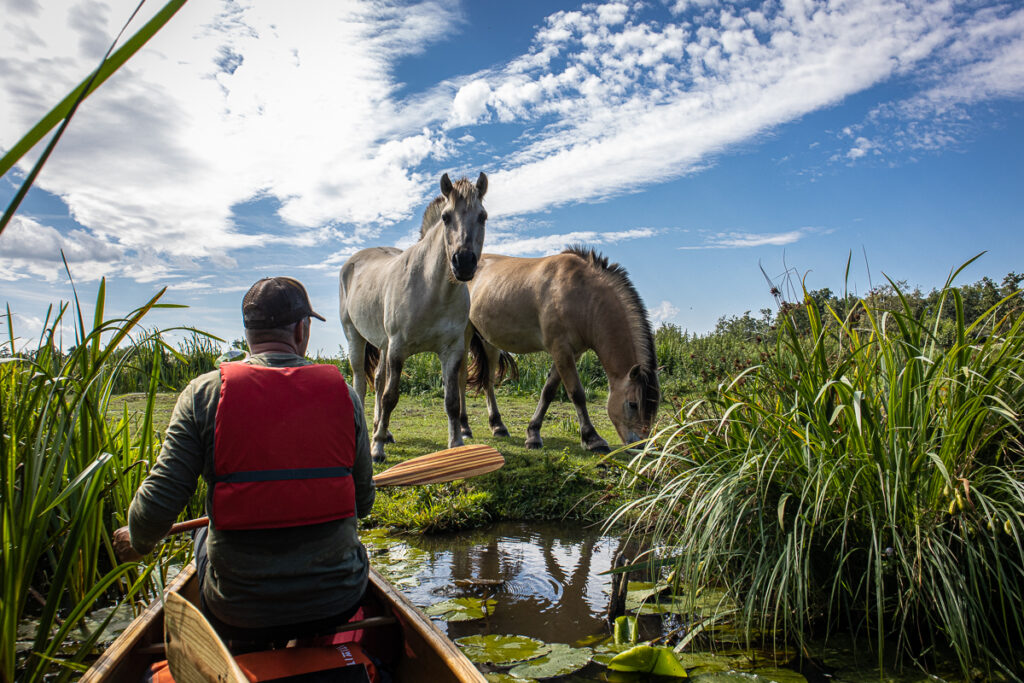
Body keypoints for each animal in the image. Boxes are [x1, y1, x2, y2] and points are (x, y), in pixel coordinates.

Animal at [339, 174, 487, 462]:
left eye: (482, 216)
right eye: (446, 217)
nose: (463, 262)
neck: (432, 290)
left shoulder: (452, 350)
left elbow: (452, 400)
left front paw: (456, 444)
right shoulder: (398, 348)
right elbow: (390, 397)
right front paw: (377, 449)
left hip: (382, 344)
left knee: (378, 379)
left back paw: (382, 430)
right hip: (355, 337)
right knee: (361, 384)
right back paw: (372, 434)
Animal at [460, 246, 659, 454]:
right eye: (633, 404)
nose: (641, 446)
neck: (582, 296)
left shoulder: (570, 353)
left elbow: (548, 391)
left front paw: (533, 434)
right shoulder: (561, 349)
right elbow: (577, 393)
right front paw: (593, 439)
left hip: (489, 342)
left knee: (488, 382)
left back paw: (498, 426)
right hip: (464, 335)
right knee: (461, 378)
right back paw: (464, 427)